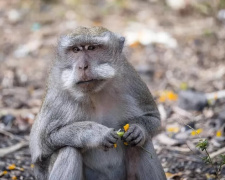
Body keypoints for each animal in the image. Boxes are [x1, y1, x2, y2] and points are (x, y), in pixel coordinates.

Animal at [29, 26, 166, 179]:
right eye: (75, 50)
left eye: (91, 48)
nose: (82, 66)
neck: (94, 93)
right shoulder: (56, 94)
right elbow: (44, 141)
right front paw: (95, 133)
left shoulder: (131, 79)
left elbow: (153, 117)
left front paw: (137, 129)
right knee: (69, 150)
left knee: (141, 144)